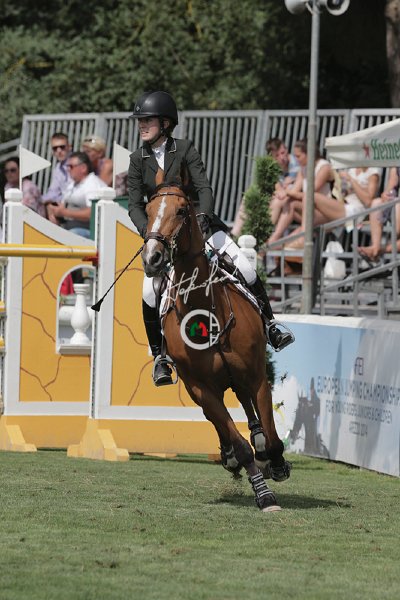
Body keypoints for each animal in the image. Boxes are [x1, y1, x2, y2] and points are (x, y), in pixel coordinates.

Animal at [141, 177, 291, 511]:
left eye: (182, 210)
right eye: (147, 211)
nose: (152, 257)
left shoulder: (257, 377)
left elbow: (273, 435)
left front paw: (276, 463)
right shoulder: (202, 389)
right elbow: (237, 441)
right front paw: (264, 494)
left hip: (241, 376)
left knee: (248, 406)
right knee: (222, 422)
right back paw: (231, 455)